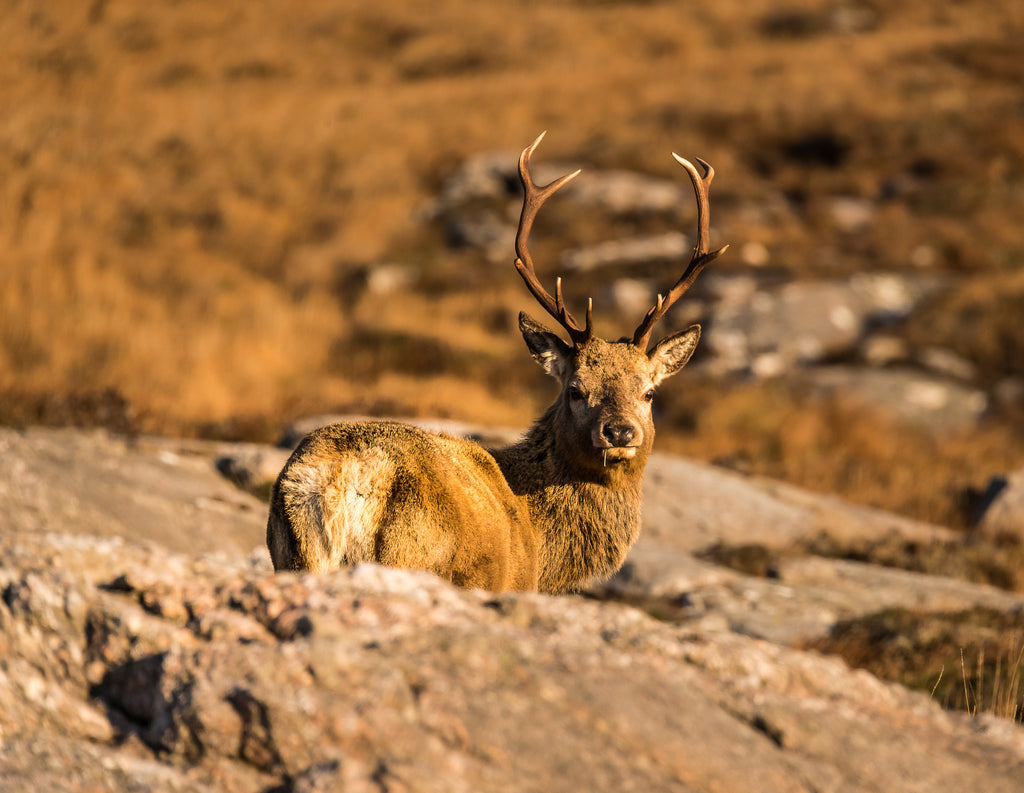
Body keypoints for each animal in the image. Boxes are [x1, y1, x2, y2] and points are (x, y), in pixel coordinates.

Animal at [268, 132, 724, 590]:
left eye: (649, 393)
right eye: (575, 390)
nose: (619, 432)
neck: (542, 549)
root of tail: (341, 479)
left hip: (293, 554)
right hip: (413, 555)